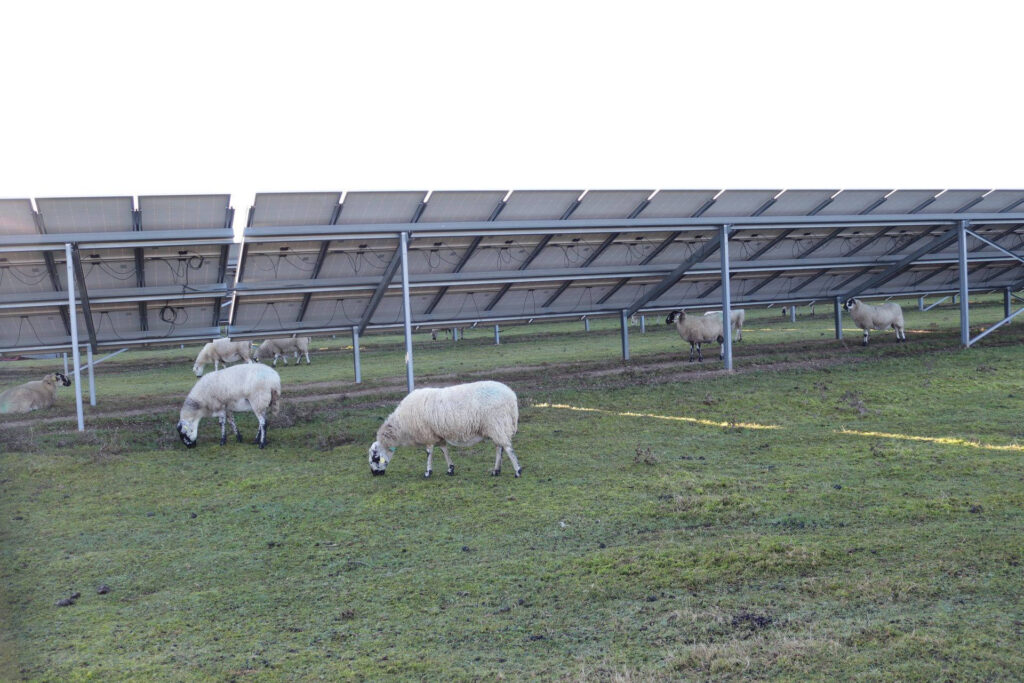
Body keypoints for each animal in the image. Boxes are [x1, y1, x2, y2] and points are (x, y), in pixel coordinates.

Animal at [366, 378, 520, 481]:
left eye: (375, 458)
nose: (374, 474)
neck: (401, 425)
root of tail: (512, 396)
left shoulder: (427, 434)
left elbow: (429, 452)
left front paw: (428, 472)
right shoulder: (437, 434)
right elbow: (444, 450)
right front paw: (450, 469)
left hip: (497, 422)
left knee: (507, 447)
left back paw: (517, 471)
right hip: (496, 426)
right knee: (499, 447)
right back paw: (496, 471)